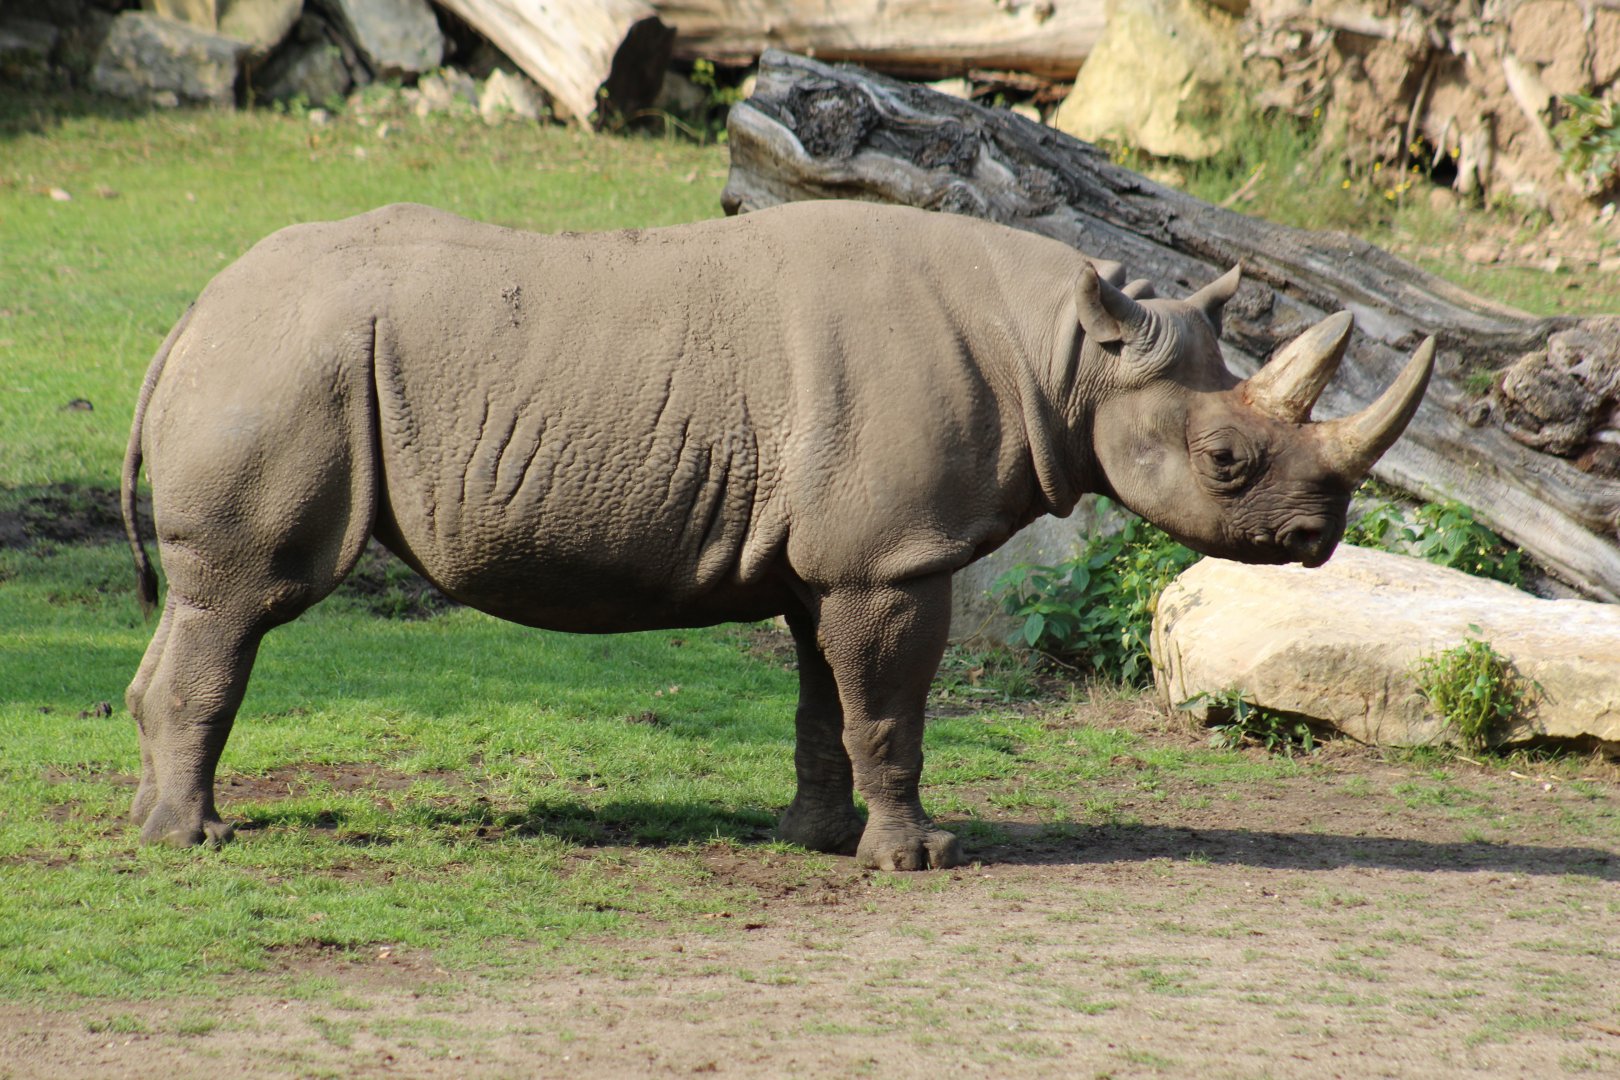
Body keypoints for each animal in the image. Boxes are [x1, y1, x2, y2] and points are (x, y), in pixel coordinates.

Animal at [121, 200, 1433, 869]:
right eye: (1227, 464)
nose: (1318, 537)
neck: (1066, 356)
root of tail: (186, 320)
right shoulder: (894, 553)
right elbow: (890, 707)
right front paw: (917, 857)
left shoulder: (837, 555)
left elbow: (825, 705)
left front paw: (815, 838)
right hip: (289, 371)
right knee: (247, 596)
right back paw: (200, 840)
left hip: (278, 361)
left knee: (203, 604)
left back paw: (153, 822)